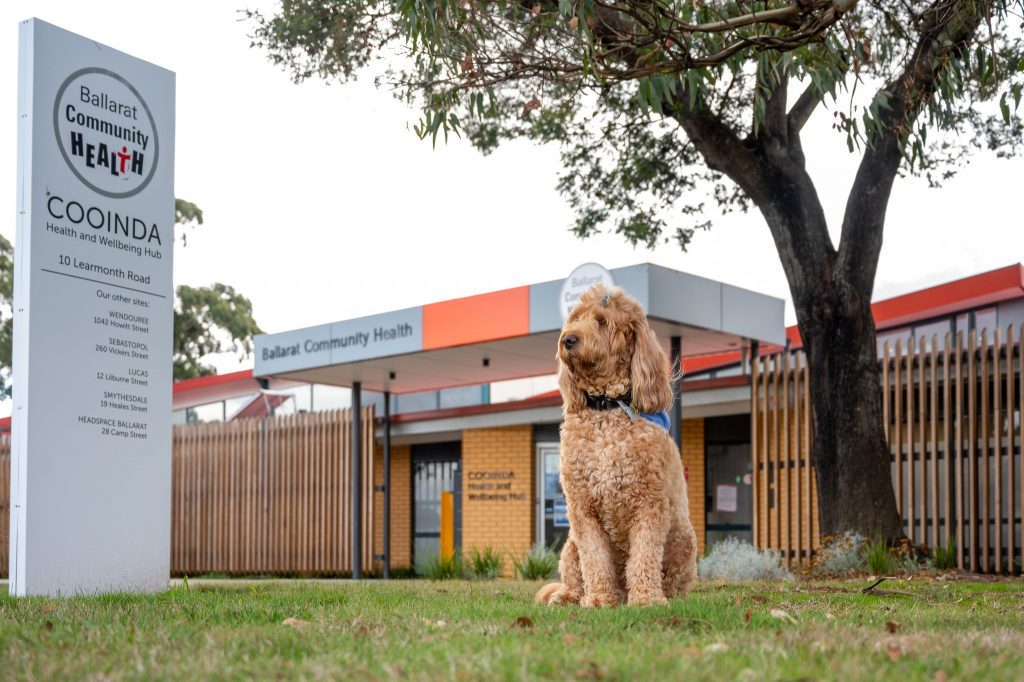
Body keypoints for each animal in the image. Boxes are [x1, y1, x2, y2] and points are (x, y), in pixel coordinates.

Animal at [536, 282, 696, 606]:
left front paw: (647, 598)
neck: (606, 409)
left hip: (685, 539)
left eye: (601, 320)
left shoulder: (650, 503)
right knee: (572, 577)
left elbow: (645, 554)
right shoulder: (582, 508)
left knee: (673, 579)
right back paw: (566, 596)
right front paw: (599, 597)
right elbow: (595, 558)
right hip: (570, 545)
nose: (568, 339)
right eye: (575, 318)